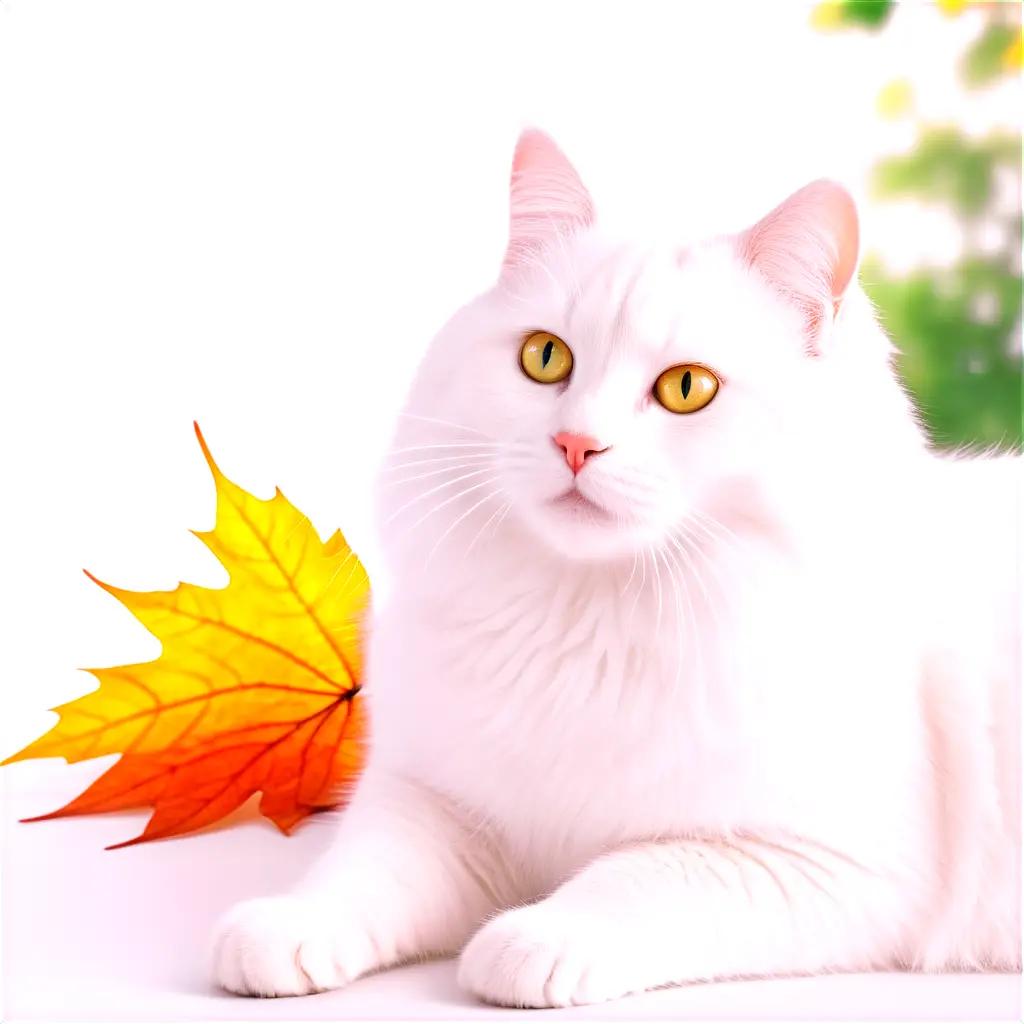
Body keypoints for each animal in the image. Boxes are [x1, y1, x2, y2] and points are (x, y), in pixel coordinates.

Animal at [207, 130, 1015, 1007]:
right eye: (544, 357)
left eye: (688, 388)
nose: (575, 444)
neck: (587, 618)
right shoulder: (437, 804)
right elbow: (362, 871)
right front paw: (285, 931)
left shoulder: (820, 864)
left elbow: (634, 877)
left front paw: (531, 944)